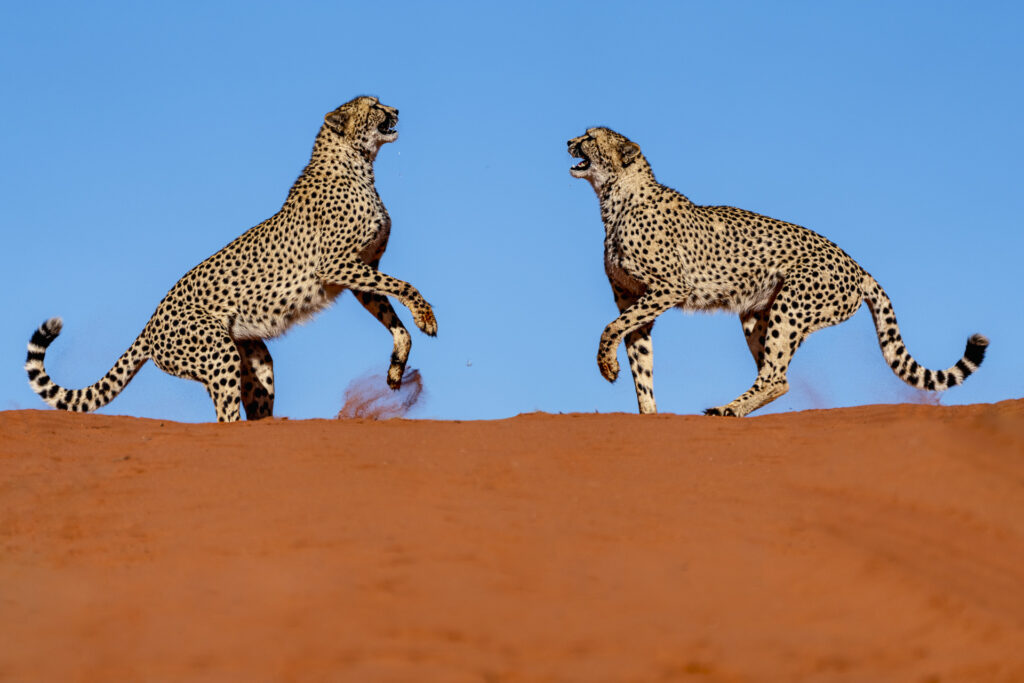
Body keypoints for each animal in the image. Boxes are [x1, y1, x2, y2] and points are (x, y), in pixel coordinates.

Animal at [27, 94, 436, 421]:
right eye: (374, 105)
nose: (396, 109)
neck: (357, 162)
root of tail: (152, 320)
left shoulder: (360, 272)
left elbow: (393, 317)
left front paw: (396, 368)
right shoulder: (337, 266)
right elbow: (406, 285)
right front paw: (427, 319)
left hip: (254, 357)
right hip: (218, 353)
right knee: (224, 417)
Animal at [573, 127, 987, 417]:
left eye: (590, 137)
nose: (568, 141)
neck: (614, 198)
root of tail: (856, 264)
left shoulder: (669, 288)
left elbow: (610, 328)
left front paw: (607, 365)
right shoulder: (634, 298)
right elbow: (641, 363)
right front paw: (648, 415)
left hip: (791, 306)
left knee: (776, 375)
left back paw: (728, 409)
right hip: (757, 313)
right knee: (776, 376)